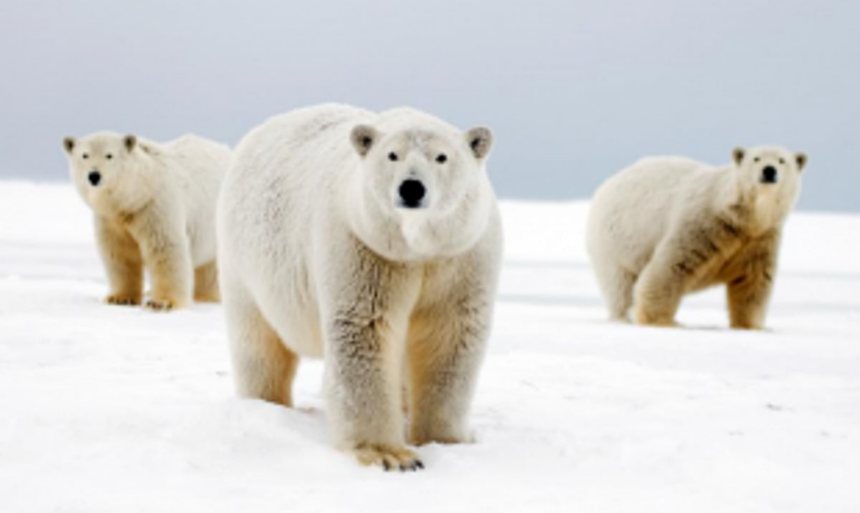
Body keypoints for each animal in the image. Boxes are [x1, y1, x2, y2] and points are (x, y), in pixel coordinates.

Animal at [64, 132, 231, 311]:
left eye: (109, 155)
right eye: (84, 155)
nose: (94, 176)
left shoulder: (155, 207)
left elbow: (165, 248)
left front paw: (162, 302)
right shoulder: (111, 219)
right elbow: (119, 252)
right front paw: (120, 298)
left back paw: (205, 296)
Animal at [217, 104, 502, 471]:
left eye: (441, 157)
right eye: (392, 155)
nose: (411, 188)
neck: (415, 249)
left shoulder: (460, 256)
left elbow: (449, 335)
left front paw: (446, 441)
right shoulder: (364, 246)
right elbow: (365, 329)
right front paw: (391, 455)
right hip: (245, 261)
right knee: (258, 341)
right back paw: (269, 405)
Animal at [587, 146, 807, 329]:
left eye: (782, 160)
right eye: (756, 158)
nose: (769, 170)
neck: (739, 216)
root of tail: (607, 184)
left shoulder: (759, 238)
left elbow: (753, 279)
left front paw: (752, 326)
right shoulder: (702, 223)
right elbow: (670, 267)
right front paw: (660, 321)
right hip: (615, 240)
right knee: (620, 284)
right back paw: (624, 316)